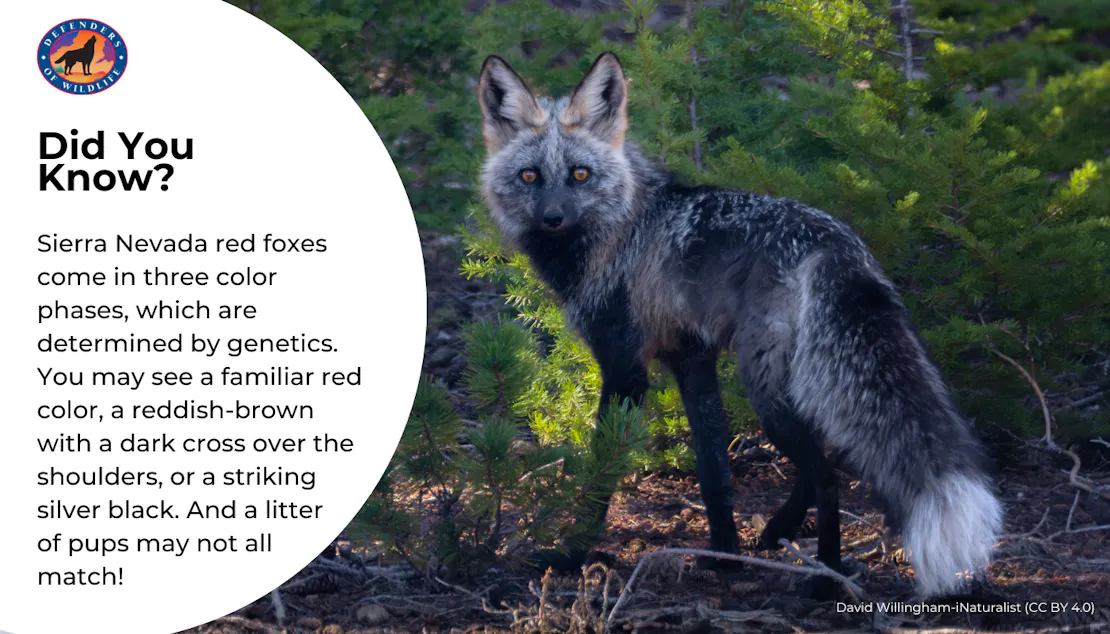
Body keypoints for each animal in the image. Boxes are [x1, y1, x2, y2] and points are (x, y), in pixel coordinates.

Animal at [477, 51, 1003, 599]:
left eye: (580, 174)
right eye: (530, 177)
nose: (553, 219)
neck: (623, 228)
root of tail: (832, 240)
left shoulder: (625, 368)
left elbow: (603, 473)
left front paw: (571, 554)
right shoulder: (692, 359)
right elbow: (714, 471)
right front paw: (724, 555)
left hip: (764, 386)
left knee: (827, 476)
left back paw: (827, 576)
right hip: (790, 381)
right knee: (824, 461)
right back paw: (778, 533)